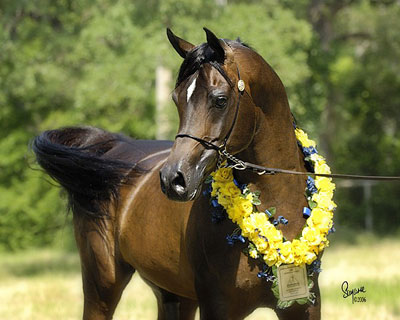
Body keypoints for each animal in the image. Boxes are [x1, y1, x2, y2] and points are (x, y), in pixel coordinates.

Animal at [32, 28, 320, 318]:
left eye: (220, 100)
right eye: (176, 99)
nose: (173, 180)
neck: (278, 210)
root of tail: (111, 149)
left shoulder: (304, 306)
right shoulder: (217, 306)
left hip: (173, 294)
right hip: (102, 286)